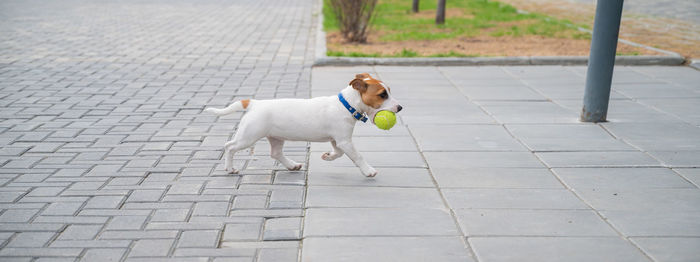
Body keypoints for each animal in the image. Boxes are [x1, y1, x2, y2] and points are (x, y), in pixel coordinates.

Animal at [204, 72, 400, 177]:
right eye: (382, 95)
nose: (400, 107)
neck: (346, 104)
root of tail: (253, 103)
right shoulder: (344, 141)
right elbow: (357, 156)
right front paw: (368, 171)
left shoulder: (338, 141)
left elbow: (337, 154)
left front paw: (327, 156)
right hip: (248, 136)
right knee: (229, 146)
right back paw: (230, 168)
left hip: (276, 137)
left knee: (276, 153)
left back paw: (292, 165)